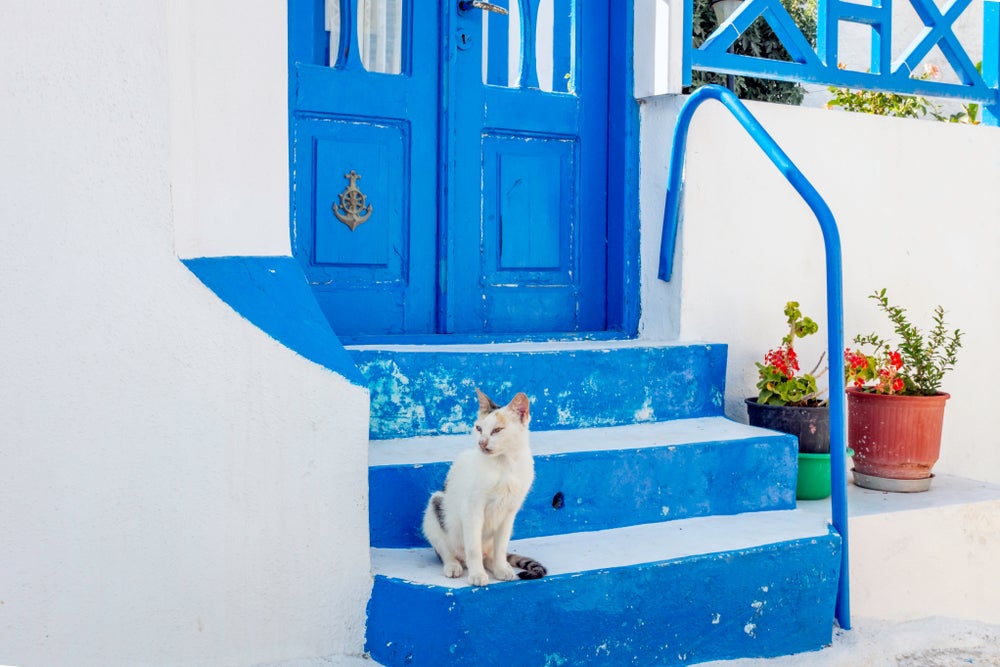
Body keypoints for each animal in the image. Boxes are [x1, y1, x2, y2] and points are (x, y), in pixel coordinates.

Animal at [422, 388, 548, 588]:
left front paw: (501, 567)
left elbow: (500, 547)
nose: (481, 442)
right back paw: (453, 565)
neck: (505, 465)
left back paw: (499, 565)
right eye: (478, 428)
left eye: (497, 430)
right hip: (434, 507)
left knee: (489, 553)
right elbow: (473, 548)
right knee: (446, 551)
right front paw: (477, 574)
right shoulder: (472, 509)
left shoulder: (509, 513)